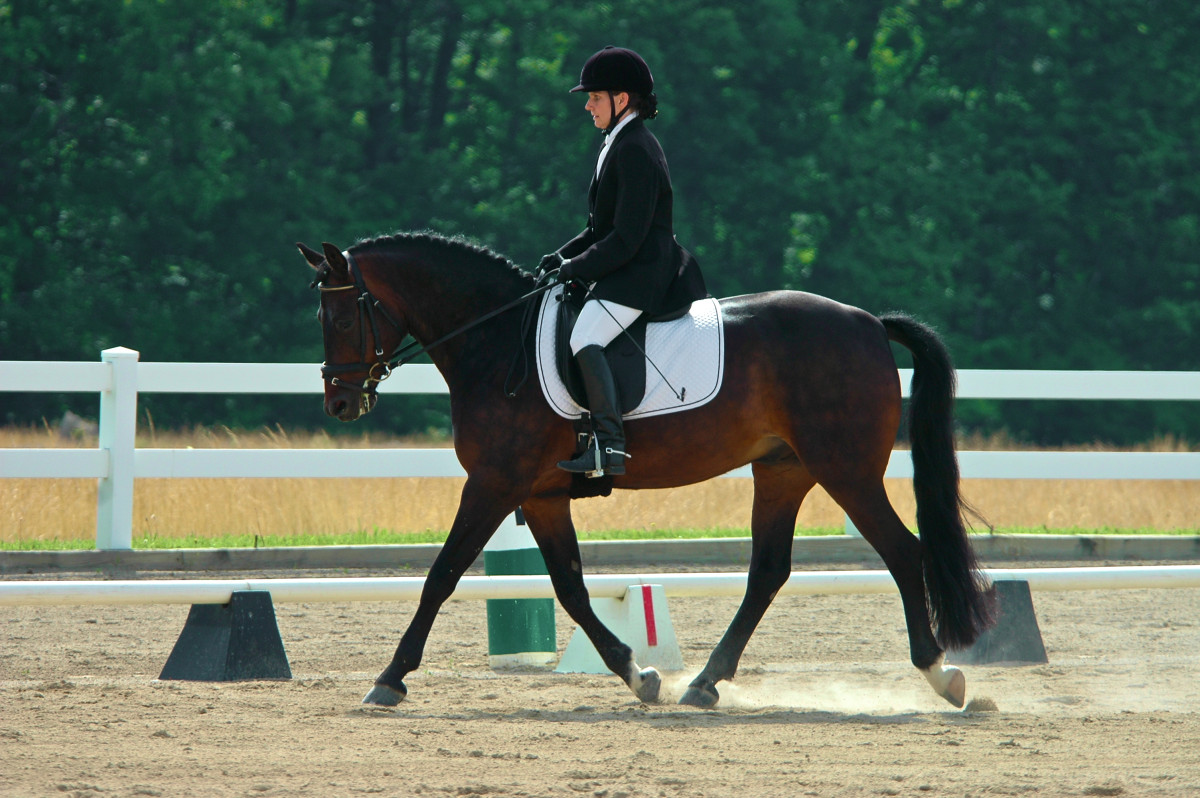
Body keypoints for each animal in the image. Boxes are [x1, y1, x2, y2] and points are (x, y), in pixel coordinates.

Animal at [297, 231, 993, 710]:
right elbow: (571, 588)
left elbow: (440, 576)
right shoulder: (542, 495)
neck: (494, 343)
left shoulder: (494, 485)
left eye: (341, 317)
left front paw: (388, 680)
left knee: (903, 552)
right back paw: (705, 684)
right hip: (783, 470)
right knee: (768, 571)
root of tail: (869, 322)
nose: (339, 404)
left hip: (845, 469)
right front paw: (639, 674)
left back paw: (942, 674)